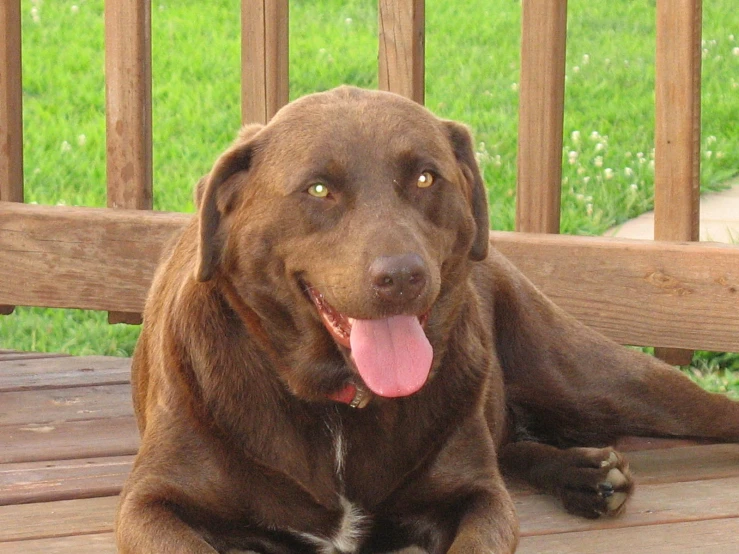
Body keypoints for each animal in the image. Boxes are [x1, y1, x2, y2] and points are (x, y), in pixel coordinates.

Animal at [117, 84, 739, 548]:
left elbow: (483, 507)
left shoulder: (479, 498)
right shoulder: (148, 505)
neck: (340, 406)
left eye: (424, 177)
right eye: (318, 189)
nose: (402, 276)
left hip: (591, 377)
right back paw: (585, 475)